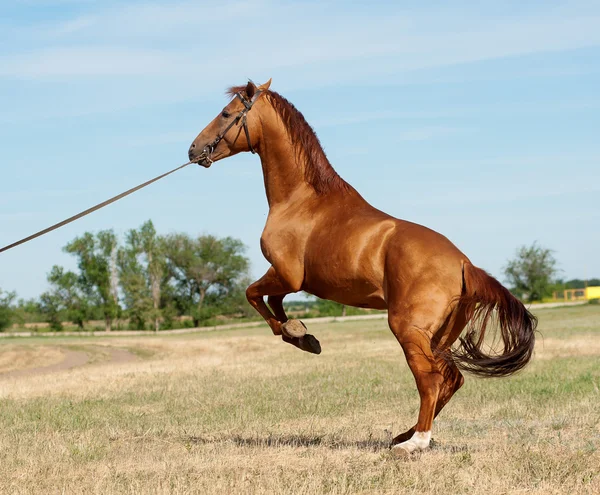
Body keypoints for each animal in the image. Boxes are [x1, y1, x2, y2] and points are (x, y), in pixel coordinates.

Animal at [186, 79, 536, 456]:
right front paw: (302, 333)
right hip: (439, 336)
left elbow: (253, 295)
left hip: (409, 330)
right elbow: (273, 303)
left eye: (226, 114)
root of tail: (464, 264)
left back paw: (413, 443)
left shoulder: (286, 275)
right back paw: (403, 435)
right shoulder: (291, 281)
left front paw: (297, 334)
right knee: (451, 379)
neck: (302, 200)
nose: (193, 151)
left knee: (430, 380)